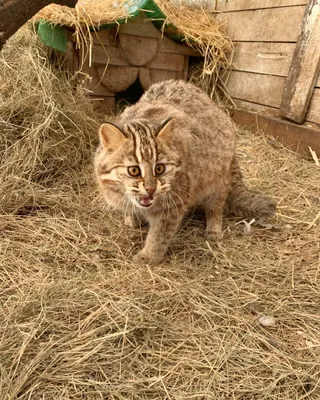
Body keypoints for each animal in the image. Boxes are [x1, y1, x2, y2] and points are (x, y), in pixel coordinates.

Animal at [94, 79, 276, 264]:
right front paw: (133, 218)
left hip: (217, 178)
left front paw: (150, 255)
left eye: (159, 168)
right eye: (133, 170)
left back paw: (214, 227)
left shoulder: (174, 204)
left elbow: (159, 235)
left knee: (216, 206)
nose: (151, 189)